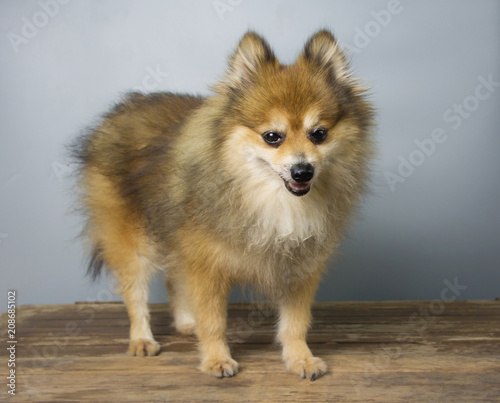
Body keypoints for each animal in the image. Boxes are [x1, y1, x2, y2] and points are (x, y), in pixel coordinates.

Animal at [72, 30, 374, 380]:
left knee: (174, 279)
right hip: (132, 243)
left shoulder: (299, 268)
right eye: (272, 136)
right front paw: (217, 359)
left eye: (319, 134)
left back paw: (186, 322)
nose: (303, 170)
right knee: (136, 293)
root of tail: (121, 110)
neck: (274, 201)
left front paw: (301, 359)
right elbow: (214, 321)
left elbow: (295, 324)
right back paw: (142, 340)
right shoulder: (207, 266)